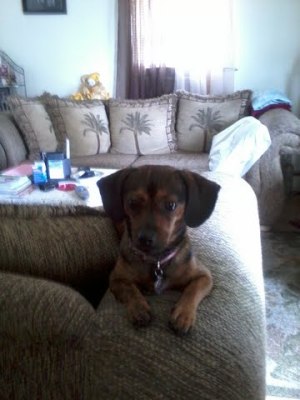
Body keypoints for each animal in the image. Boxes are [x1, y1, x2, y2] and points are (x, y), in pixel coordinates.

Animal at [96, 166, 220, 334]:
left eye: (171, 205)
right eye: (132, 202)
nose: (145, 239)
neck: (156, 259)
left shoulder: (204, 277)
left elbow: (193, 290)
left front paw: (183, 315)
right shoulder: (116, 279)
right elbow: (129, 289)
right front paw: (139, 308)